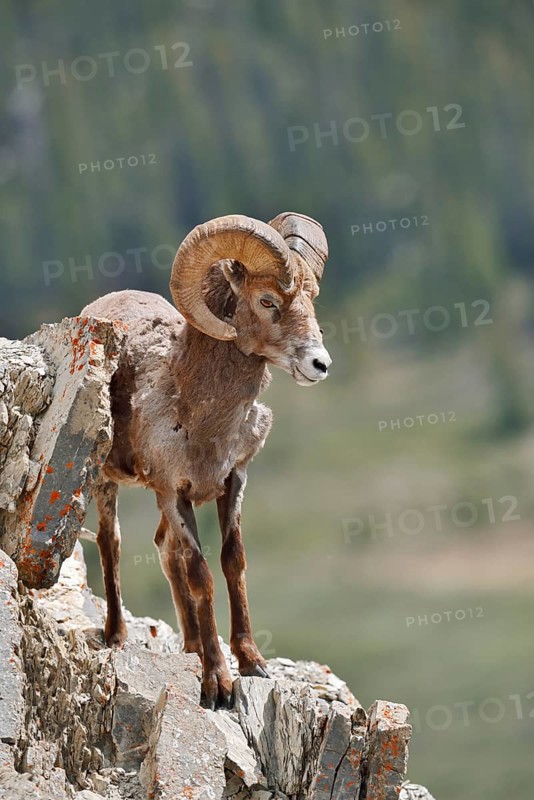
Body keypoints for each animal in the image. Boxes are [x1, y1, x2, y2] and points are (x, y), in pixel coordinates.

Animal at [82, 212, 332, 708]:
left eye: (311, 299)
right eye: (267, 300)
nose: (320, 364)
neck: (201, 417)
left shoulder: (232, 481)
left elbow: (233, 562)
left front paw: (251, 662)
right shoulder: (172, 492)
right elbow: (201, 574)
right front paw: (217, 682)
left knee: (163, 548)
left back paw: (192, 645)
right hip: (106, 480)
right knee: (111, 542)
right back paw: (117, 634)